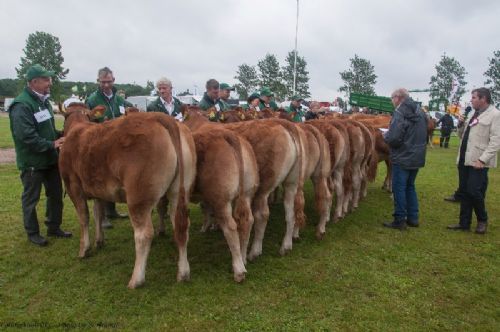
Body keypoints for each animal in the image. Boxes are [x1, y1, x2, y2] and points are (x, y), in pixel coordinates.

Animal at [59, 104, 196, 288]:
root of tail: (162, 118)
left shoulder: (72, 185)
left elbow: (84, 217)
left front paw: (84, 249)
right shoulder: (98, 190)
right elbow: (98, 214)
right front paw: (99, 241)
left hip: (138, 196)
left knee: (144, 234)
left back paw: (136, 279)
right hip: (179, 191)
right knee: (181, 226)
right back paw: (183, 273)